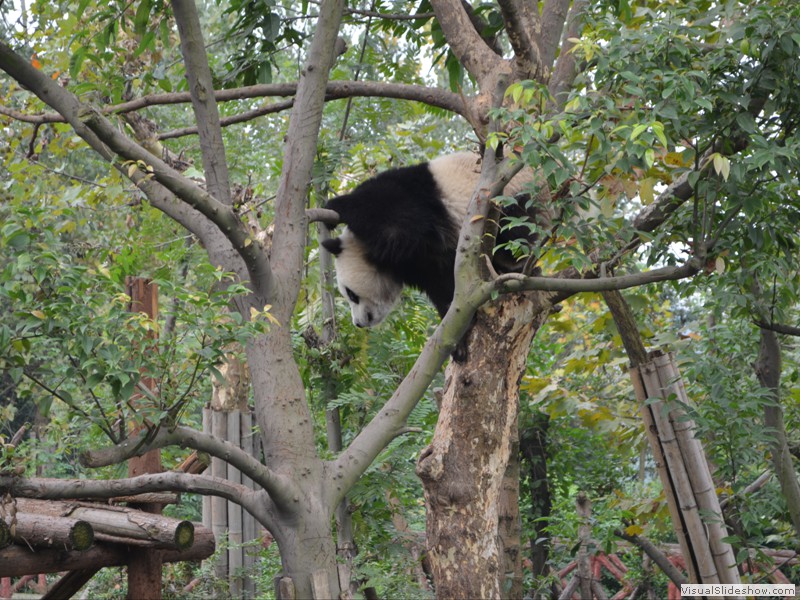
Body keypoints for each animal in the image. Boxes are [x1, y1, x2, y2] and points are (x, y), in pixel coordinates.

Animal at [322, 150, 548, 328]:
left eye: (351, 294)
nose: (358, 323)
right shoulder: (421, 262)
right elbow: (442, 284)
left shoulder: (410, 204)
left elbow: (399, 220)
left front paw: (334, 207)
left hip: (514, 193)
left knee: (515, 230)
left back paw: (513, 265)